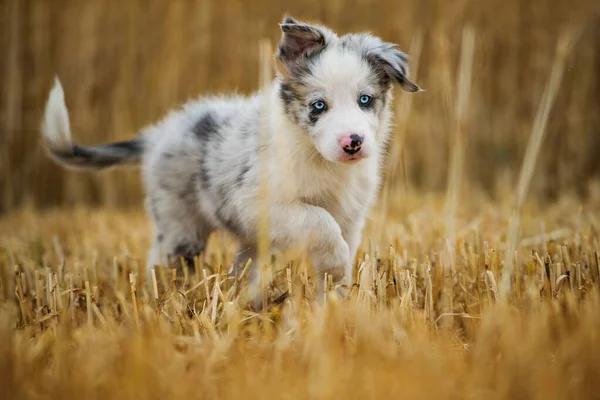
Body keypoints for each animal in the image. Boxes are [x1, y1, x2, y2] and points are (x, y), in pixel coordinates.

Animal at [42, 16, 420, 300]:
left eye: (365, 100)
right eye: (318, 106)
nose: (352, 142)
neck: (321, 161)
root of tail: (159, 133)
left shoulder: (350, 217)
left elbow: (337, 249)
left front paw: (335, 302)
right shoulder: (258, 203)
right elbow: (319, 223)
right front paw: (337, 266)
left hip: (244, 241)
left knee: (241, 271)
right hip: (181, 225)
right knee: (162, 263)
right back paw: (161, 301)